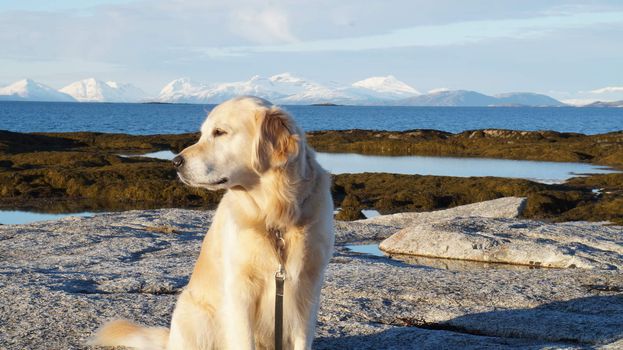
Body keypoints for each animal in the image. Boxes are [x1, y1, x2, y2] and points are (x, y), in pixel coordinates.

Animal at [90, 96, 334, 350]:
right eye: (203, 133)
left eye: (220, 132)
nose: (175, 162)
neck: (275, 213)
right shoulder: (239, 290)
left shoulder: (306, 293)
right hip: (196, 317)